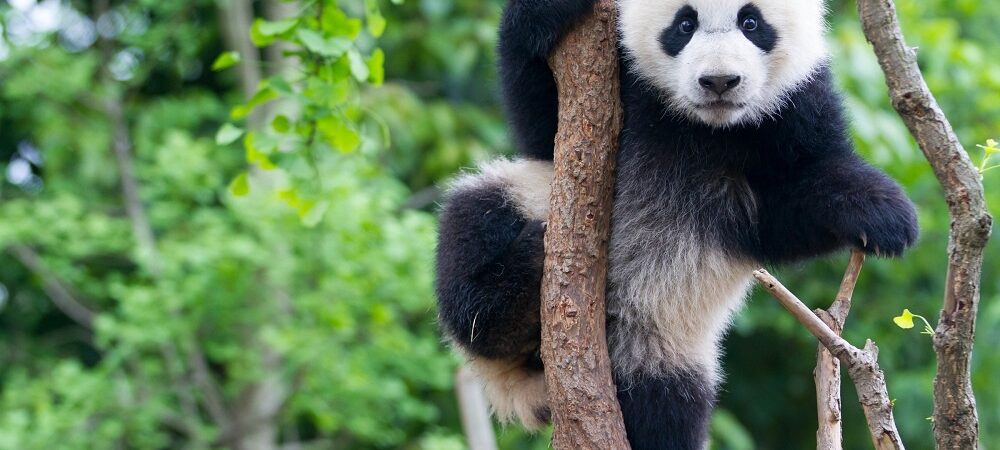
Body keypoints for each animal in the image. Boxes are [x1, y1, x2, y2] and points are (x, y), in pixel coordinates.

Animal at [435, 0, 919, 448]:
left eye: (751, 22)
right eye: (684, 24)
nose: (719, 82)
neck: (705, 127)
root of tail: (530, 377)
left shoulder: (794, 109)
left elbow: (790, 209)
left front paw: (884, 214)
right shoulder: (620, 87)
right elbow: (539, 121)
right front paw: (549, 11)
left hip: (660, 348)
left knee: (664, 411)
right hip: (523, 196)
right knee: (471, 233)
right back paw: (514, 286)